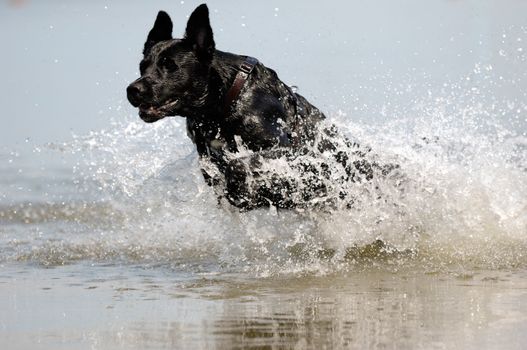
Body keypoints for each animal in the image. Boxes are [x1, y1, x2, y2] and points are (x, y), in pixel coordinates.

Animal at [127, 3, 392, 211]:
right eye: (142, 66)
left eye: (170, 65)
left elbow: (241, 163)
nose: (133, 89)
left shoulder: (288, 149)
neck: (222, 105)